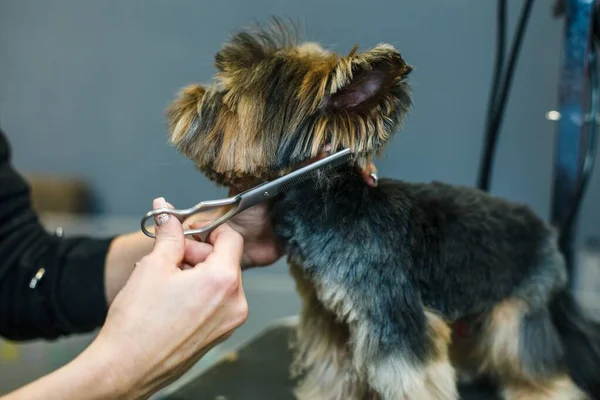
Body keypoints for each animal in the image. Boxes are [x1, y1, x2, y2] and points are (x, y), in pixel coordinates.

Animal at [164, 18, 600, 400]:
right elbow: (332, 373)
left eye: (228, 99)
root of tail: (548, 230)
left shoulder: (393, 316)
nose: (186, 98)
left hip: (518, 307)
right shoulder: (331, 320)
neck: (334, 204)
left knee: (533, 359)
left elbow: (411, 379)